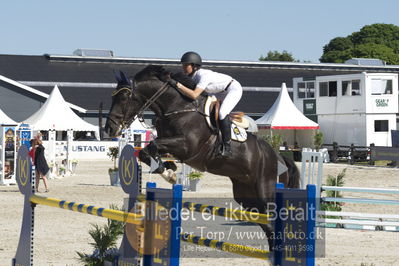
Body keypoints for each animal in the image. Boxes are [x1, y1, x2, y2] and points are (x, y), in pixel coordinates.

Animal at [105, 65, 300, 251]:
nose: (109, 129)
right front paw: (168, 170)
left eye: (124, 98)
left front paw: (168, 173)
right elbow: (147, 152)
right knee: (267, 225)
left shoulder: (186, 146)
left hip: (265, 192)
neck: (177, 107)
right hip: (246, 196)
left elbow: (151, 147)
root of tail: (279, 157)